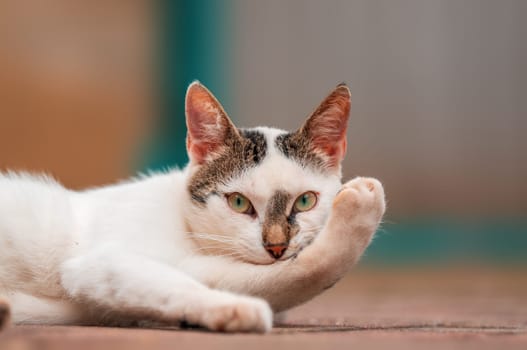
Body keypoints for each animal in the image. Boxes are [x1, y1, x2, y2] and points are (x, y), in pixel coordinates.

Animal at [1, 80, 388, 332]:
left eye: (305, 200)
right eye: (238, 202)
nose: (277, 246)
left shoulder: (202, 267)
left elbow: (272, 277)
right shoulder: (99, 262)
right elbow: (304, 272)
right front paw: (234, 309)